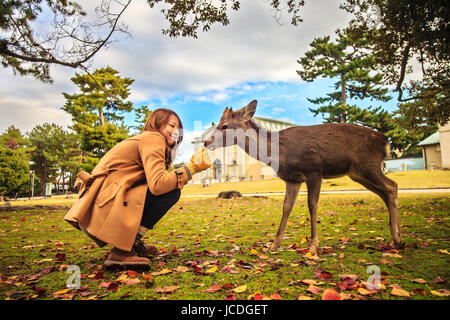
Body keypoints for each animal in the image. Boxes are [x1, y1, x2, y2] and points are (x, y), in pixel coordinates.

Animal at [204, 100, 404, 255]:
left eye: (224, 126)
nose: (205, 142)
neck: (278, 153)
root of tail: (386, 142)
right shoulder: (292, 179)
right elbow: (286, 207)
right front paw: (274, 246)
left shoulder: (314, 170)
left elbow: (312, 204)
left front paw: (313, 246)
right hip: (358, 173)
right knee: (385, 192)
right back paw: (396, 238)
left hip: (368, 164)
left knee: (392, 186)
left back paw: (397, 237)